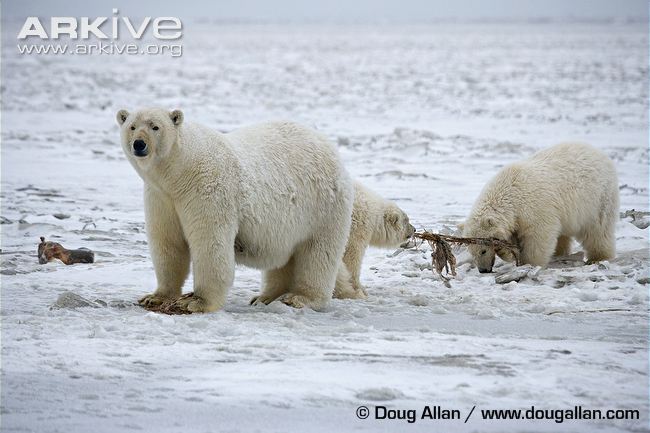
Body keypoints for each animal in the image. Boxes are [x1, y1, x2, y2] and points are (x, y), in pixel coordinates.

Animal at [116, 108, 353, 313]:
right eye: (132, 126)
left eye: (155, 127)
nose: (139, 144)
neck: (179, 173)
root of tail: (330, 148)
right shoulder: (161, 197)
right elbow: (168, 242)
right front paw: (154, 297)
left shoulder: (206, 190)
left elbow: (210, 243)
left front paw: (196, 302)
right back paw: (266, 297)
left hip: (322, 207)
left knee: (318, 253)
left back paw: (299, 297)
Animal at [461, 142, 619, 273]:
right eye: (471, 251)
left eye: (483, 251)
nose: (483, 270)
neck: (511, 191)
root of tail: (599, 153)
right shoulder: (518, 218)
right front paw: (506, 250)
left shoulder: (535, 208)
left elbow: (538, 236)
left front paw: (529, 264)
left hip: (599, 198)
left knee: (598, 229)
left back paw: (598, 257)